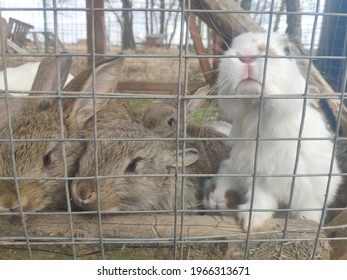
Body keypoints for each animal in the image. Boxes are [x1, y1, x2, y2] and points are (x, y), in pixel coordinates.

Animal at [204, 31, 342, 231]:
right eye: (231, 45)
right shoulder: (261, 180)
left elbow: (309, 214)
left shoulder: (311, 192)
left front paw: (309, 226)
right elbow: (261, 201)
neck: (261, 116)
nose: (247, 55)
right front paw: (250, 221)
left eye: (287, 50)